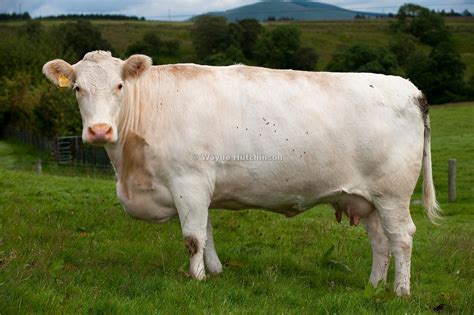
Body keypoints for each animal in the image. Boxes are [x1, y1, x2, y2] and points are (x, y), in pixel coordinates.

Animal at [44, 51, 440, 296]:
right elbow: (207, 233)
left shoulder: (188, 181)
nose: (99, 131)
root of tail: (412, 90)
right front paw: (215, 272)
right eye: (77, 88)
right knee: (380, 242)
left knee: (402, 238)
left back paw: (400, 291)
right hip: (367, 199)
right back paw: (372, 286)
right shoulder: (199, 188)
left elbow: (193, 237)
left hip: (393, 194)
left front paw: (196, 278)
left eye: (119, 86)